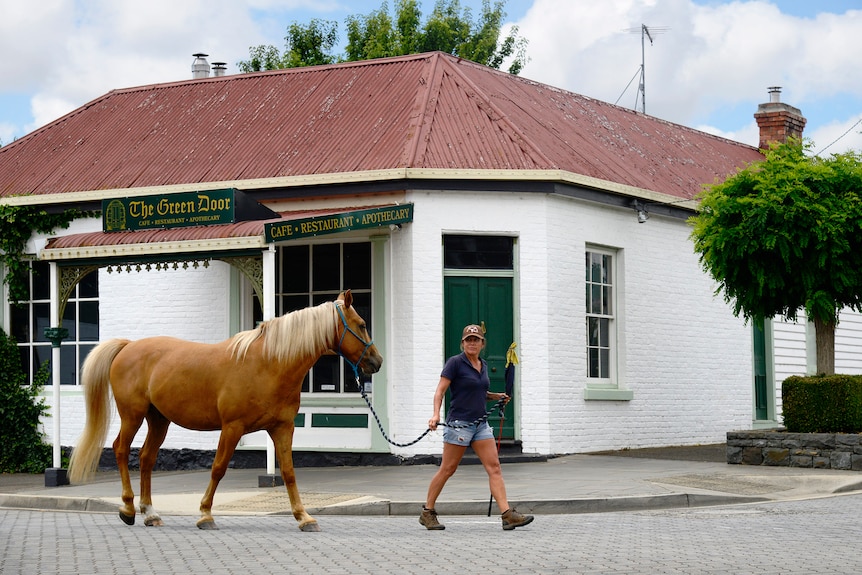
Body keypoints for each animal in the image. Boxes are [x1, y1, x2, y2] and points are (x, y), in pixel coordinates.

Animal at [69, 292, 386, 532]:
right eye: (361, 323)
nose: (377, 361)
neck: (269, 363)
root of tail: (128, 346)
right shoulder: (232, 428)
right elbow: (218, 468)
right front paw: (205, 514)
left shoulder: (282, 428)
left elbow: (288, 472)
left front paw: (304, 517)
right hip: (132, 415)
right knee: (121, 450)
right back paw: (127, 508)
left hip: (159, 420)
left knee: (146, 458)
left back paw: (150, 513)